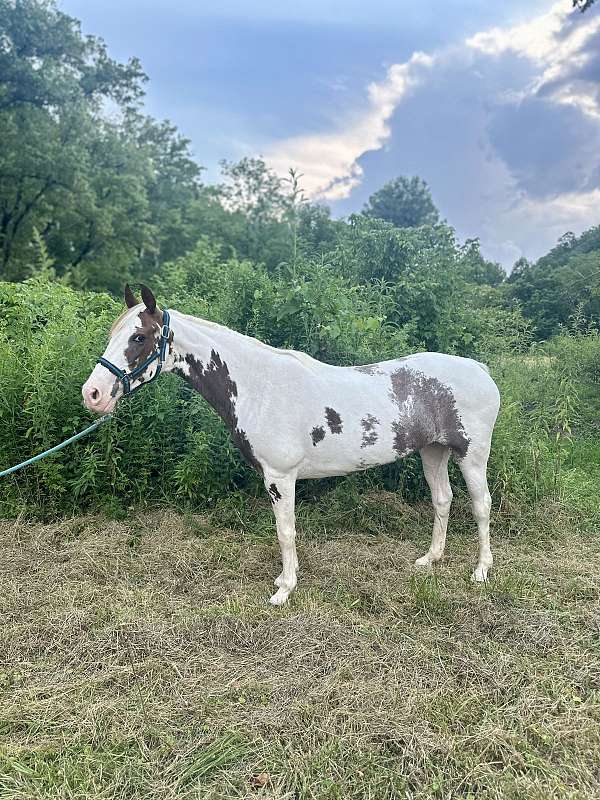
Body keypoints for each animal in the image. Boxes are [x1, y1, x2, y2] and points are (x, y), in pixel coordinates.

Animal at [81, 284, 502, 604]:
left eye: (138, 337)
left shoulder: (280, 478)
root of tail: (481, 371)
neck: (258, 385)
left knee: (481, 505)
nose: (93, 394)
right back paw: (431, 559)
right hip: (434, 451)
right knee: (443, 500)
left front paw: (284, 590)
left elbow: (286, 532)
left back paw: (481, 570)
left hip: (471, 455)